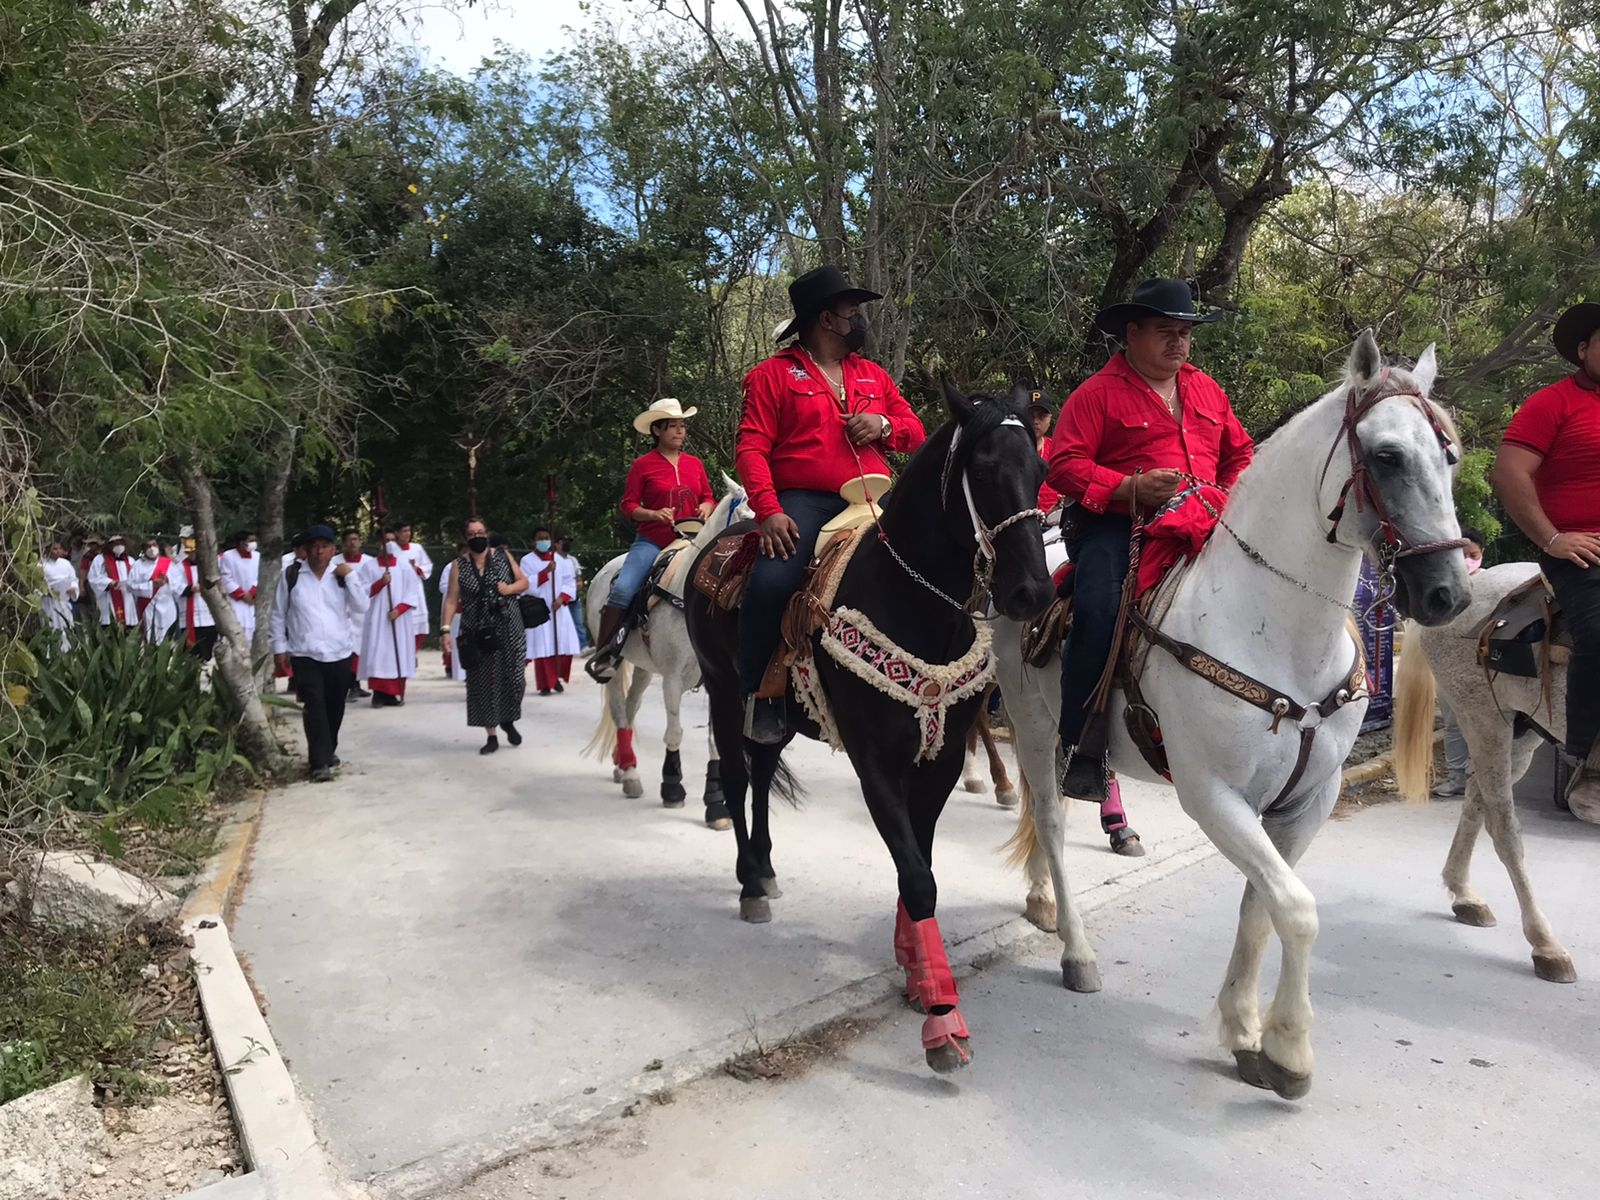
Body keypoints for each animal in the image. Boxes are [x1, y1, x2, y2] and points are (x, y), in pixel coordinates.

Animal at [585, 473, 752, 832]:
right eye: (747, 518)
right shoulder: (673, 679)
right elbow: (674, 732)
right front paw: (672, 787)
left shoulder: (719, 682)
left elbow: (716, 743)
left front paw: (716, 805)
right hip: (615, 664)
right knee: (619, 710)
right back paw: (631, 775)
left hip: (644, 668)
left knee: (631, 707)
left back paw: (622, 765)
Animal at [684, 385, 1049, 1068]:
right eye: (984, 470)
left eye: (1040, 470)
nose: (1031, 593)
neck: (913, 603)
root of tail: (716, 544)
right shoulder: (874, 761)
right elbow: (919, 877)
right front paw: (941, 1017)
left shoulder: (939, 761)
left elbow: (920, 862)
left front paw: (914, 968)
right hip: (722, 692)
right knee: (741, 780)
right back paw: (749, 885)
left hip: (775, 714)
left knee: (764, 769)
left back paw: (766, 870)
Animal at [998, 334, 1472, 1107]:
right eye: (1387, 456)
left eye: (1449, 455)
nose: (1448, 593)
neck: (1279, 633)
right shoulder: (1214, 796)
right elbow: (1299, 910)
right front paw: (1289, 1050)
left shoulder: (1308, 801)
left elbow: (1262, 908)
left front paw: (1245, 1030)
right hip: (1033, 723)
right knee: (1052, 818)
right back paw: (1076, 949)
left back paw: (1041, 901)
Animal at [1395, 563, 1580, 985]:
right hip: (1485, 719)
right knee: (1502, 826)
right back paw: (1544, 944)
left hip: (1523, 731)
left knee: (1476, 798)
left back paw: (1464, 894)